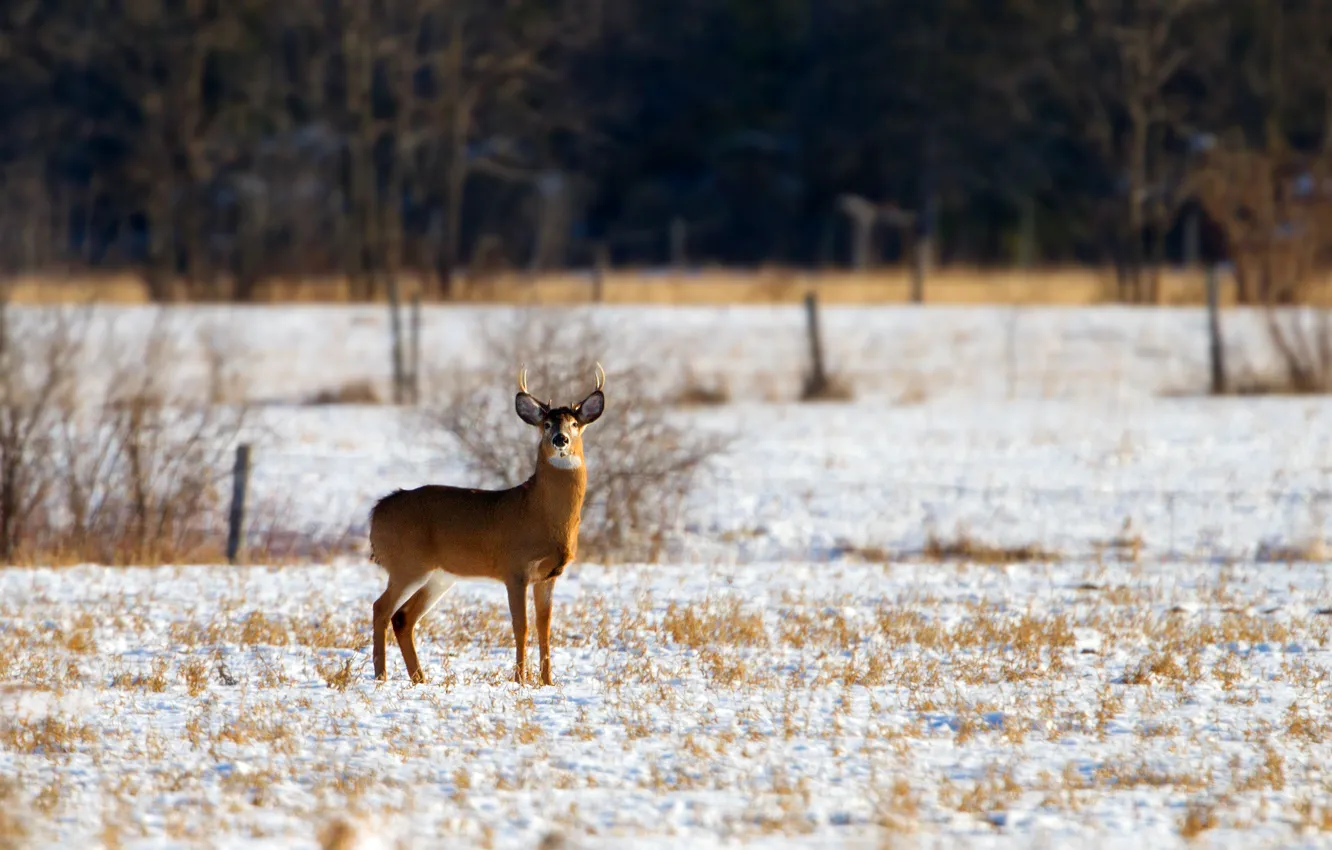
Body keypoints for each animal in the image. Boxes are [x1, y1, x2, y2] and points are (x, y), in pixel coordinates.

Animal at [370, 362, 610, 687]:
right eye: (546, 424)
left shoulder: (549, 574)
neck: (539, 513)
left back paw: (419, 678)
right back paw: (381, 676)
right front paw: (520, 679)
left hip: (439, 575)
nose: (560, 440)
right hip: (407, 564)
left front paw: (548, 681)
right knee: (381, 608)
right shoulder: (515, 568)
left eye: (574, 423)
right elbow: (521, 625)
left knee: (403, 617)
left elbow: (545, 627)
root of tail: (376, 513)